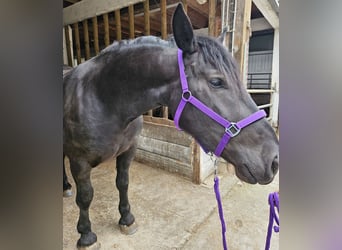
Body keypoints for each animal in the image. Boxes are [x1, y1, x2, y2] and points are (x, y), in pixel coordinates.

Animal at [63, 3, 278, 248]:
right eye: (216, 81)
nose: (274, 160)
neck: (103, 98)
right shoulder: (79, 162)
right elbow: (85, 196)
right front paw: (86, 235)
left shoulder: (128, 151)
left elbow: (123, 183)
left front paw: (127, 219)